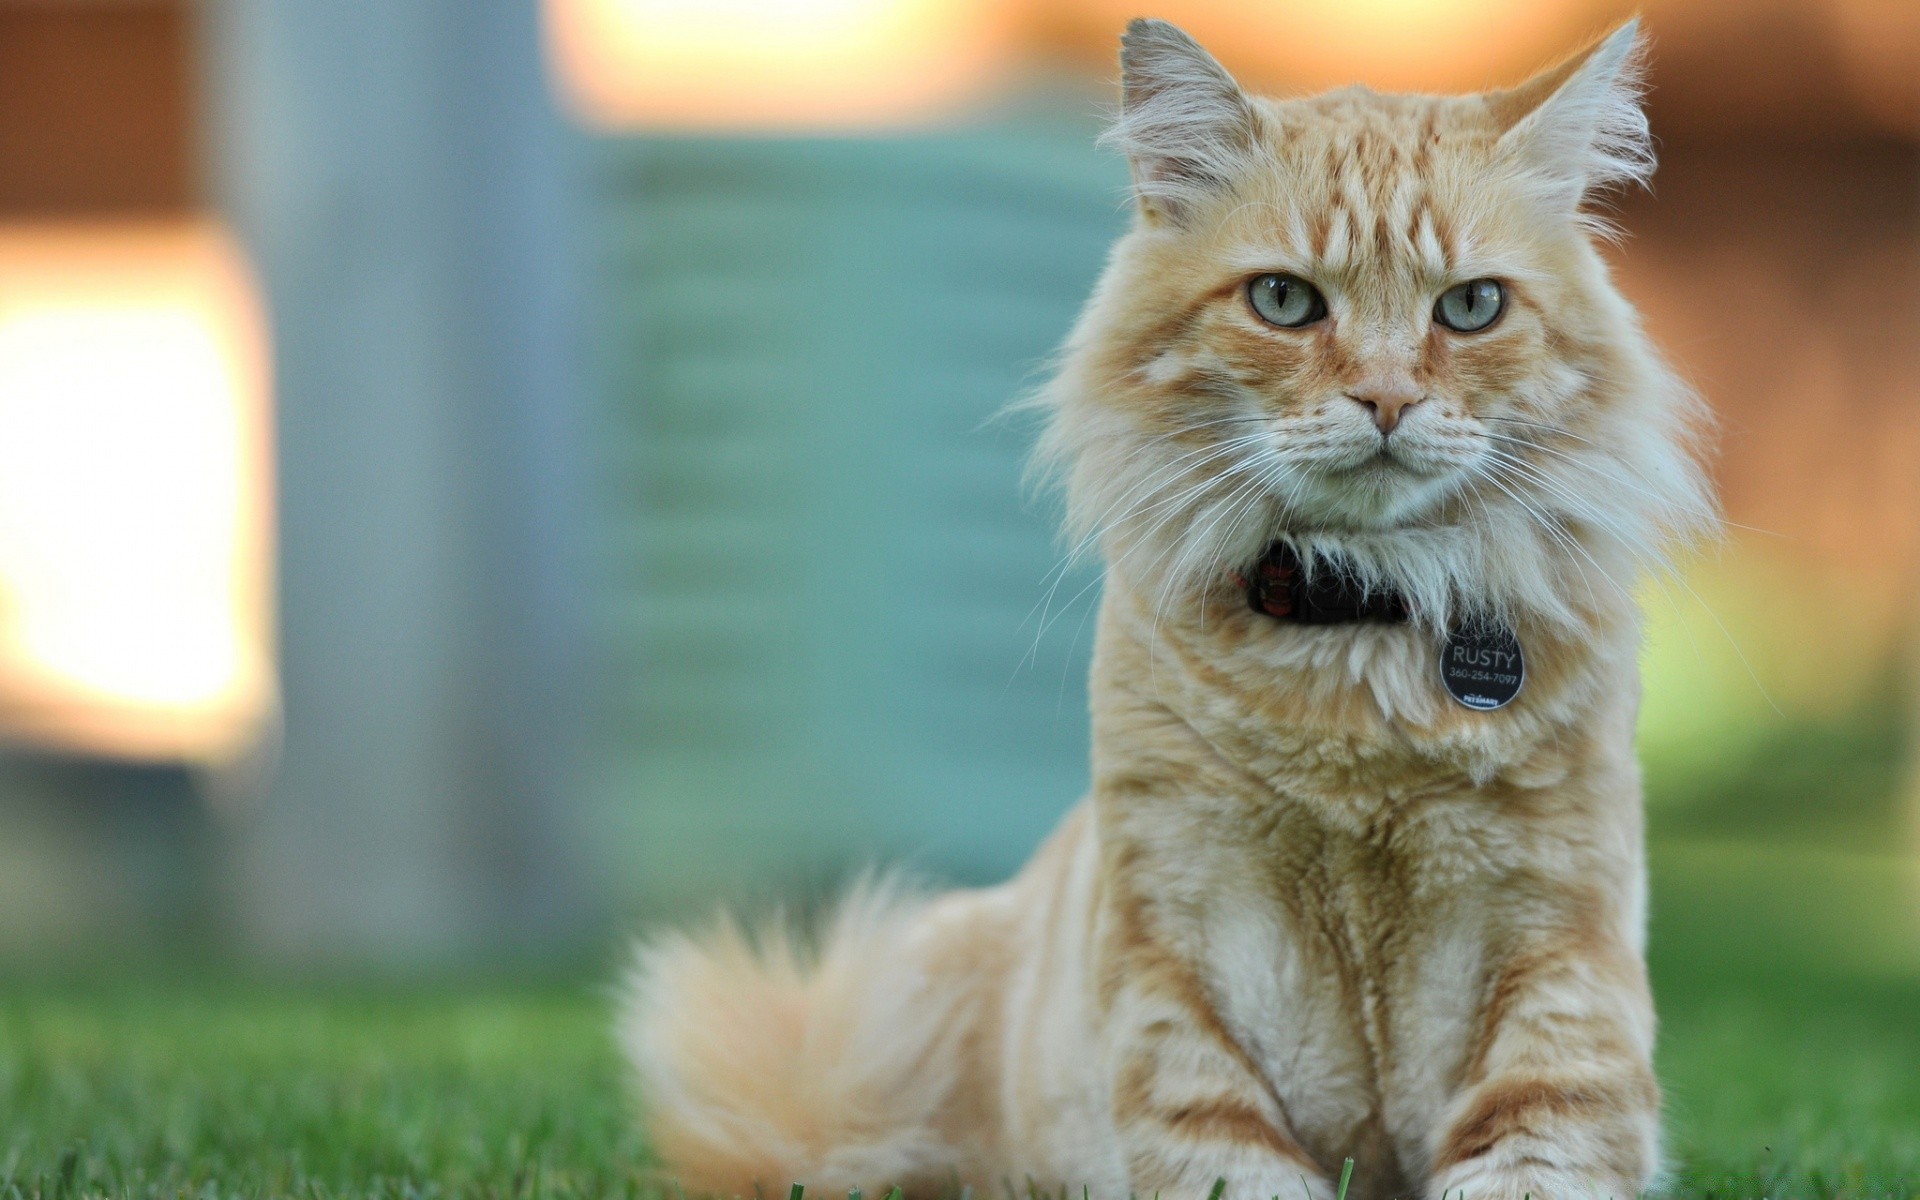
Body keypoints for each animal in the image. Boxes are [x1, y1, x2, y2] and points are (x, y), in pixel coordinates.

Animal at [622, 18, 1720, 1198]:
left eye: (1471, 307)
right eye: (1284, 301)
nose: (1387, 400)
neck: (1359, 626)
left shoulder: (1560, 961)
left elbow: (1533, 1148)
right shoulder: (1181, 956)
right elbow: (1226, 1151)